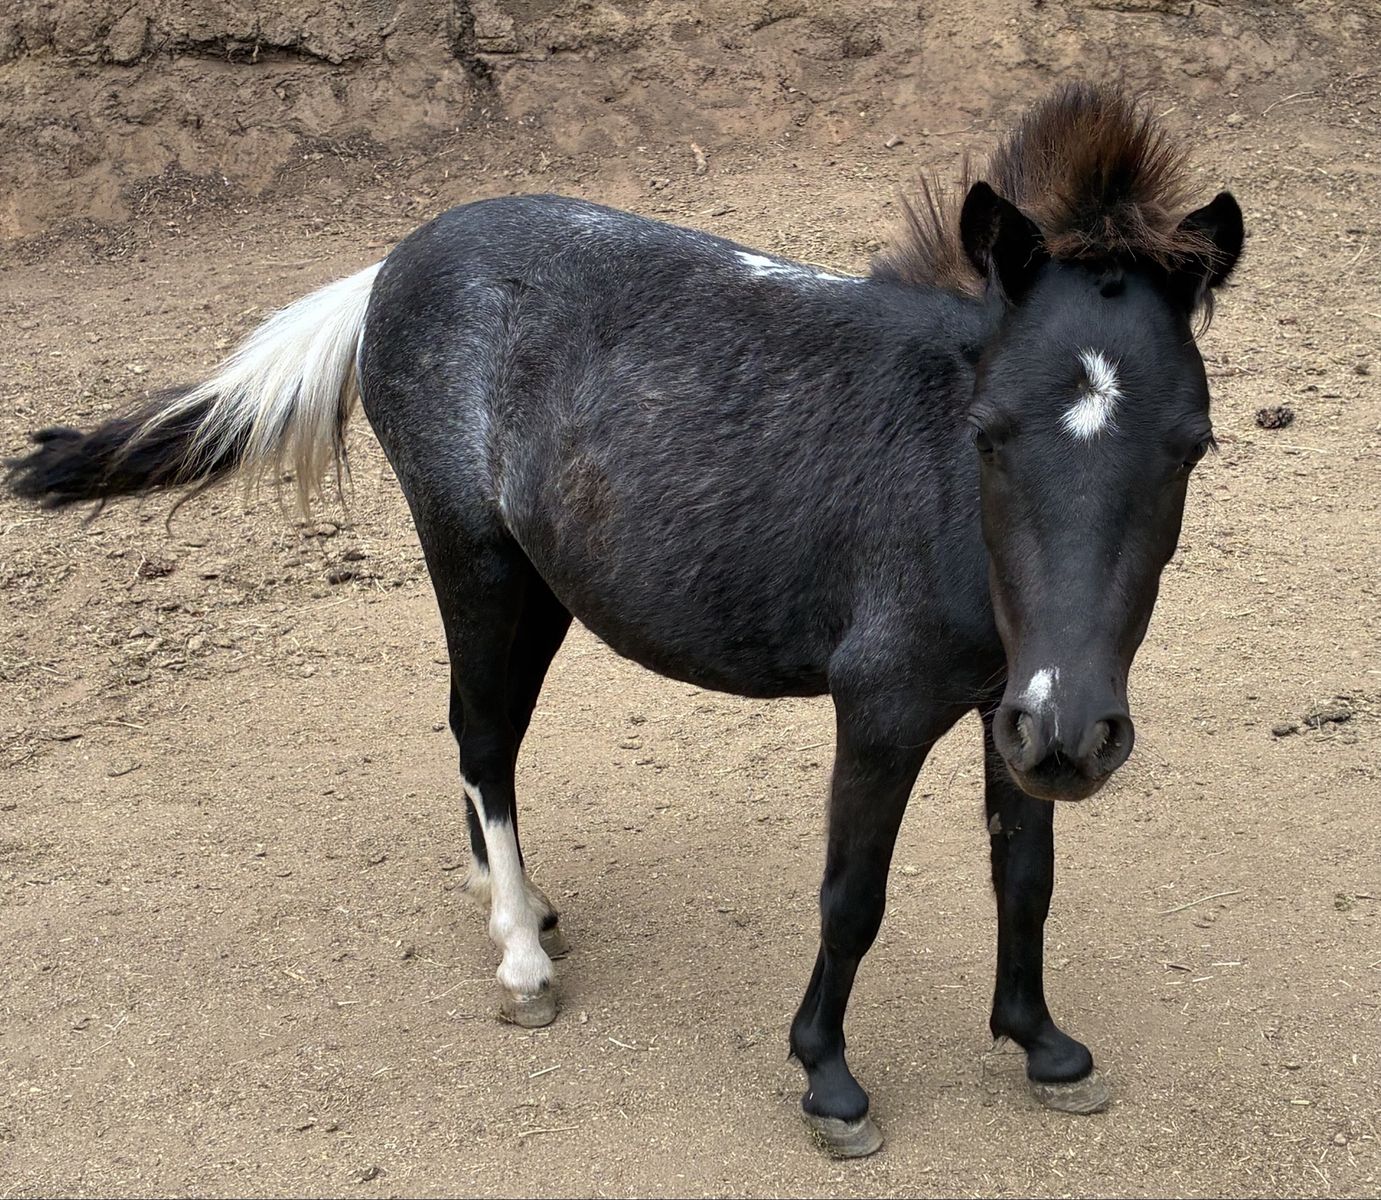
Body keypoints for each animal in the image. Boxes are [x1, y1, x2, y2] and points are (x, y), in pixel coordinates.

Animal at [7, 83, 1243, 1157]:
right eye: (987, 431)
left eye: (1190, 445)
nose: (1077, 734)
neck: (945, 505)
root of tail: (394, 265)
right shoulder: (883, 708)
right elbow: (852, 895)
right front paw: (827, 1080)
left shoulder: (1011, 706)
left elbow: (1025, 876)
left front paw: (1043, 1048)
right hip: (475, 562)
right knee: (483, 740)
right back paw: (520, 958)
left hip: (542, 585)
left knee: (481, 738)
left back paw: (516, 904)